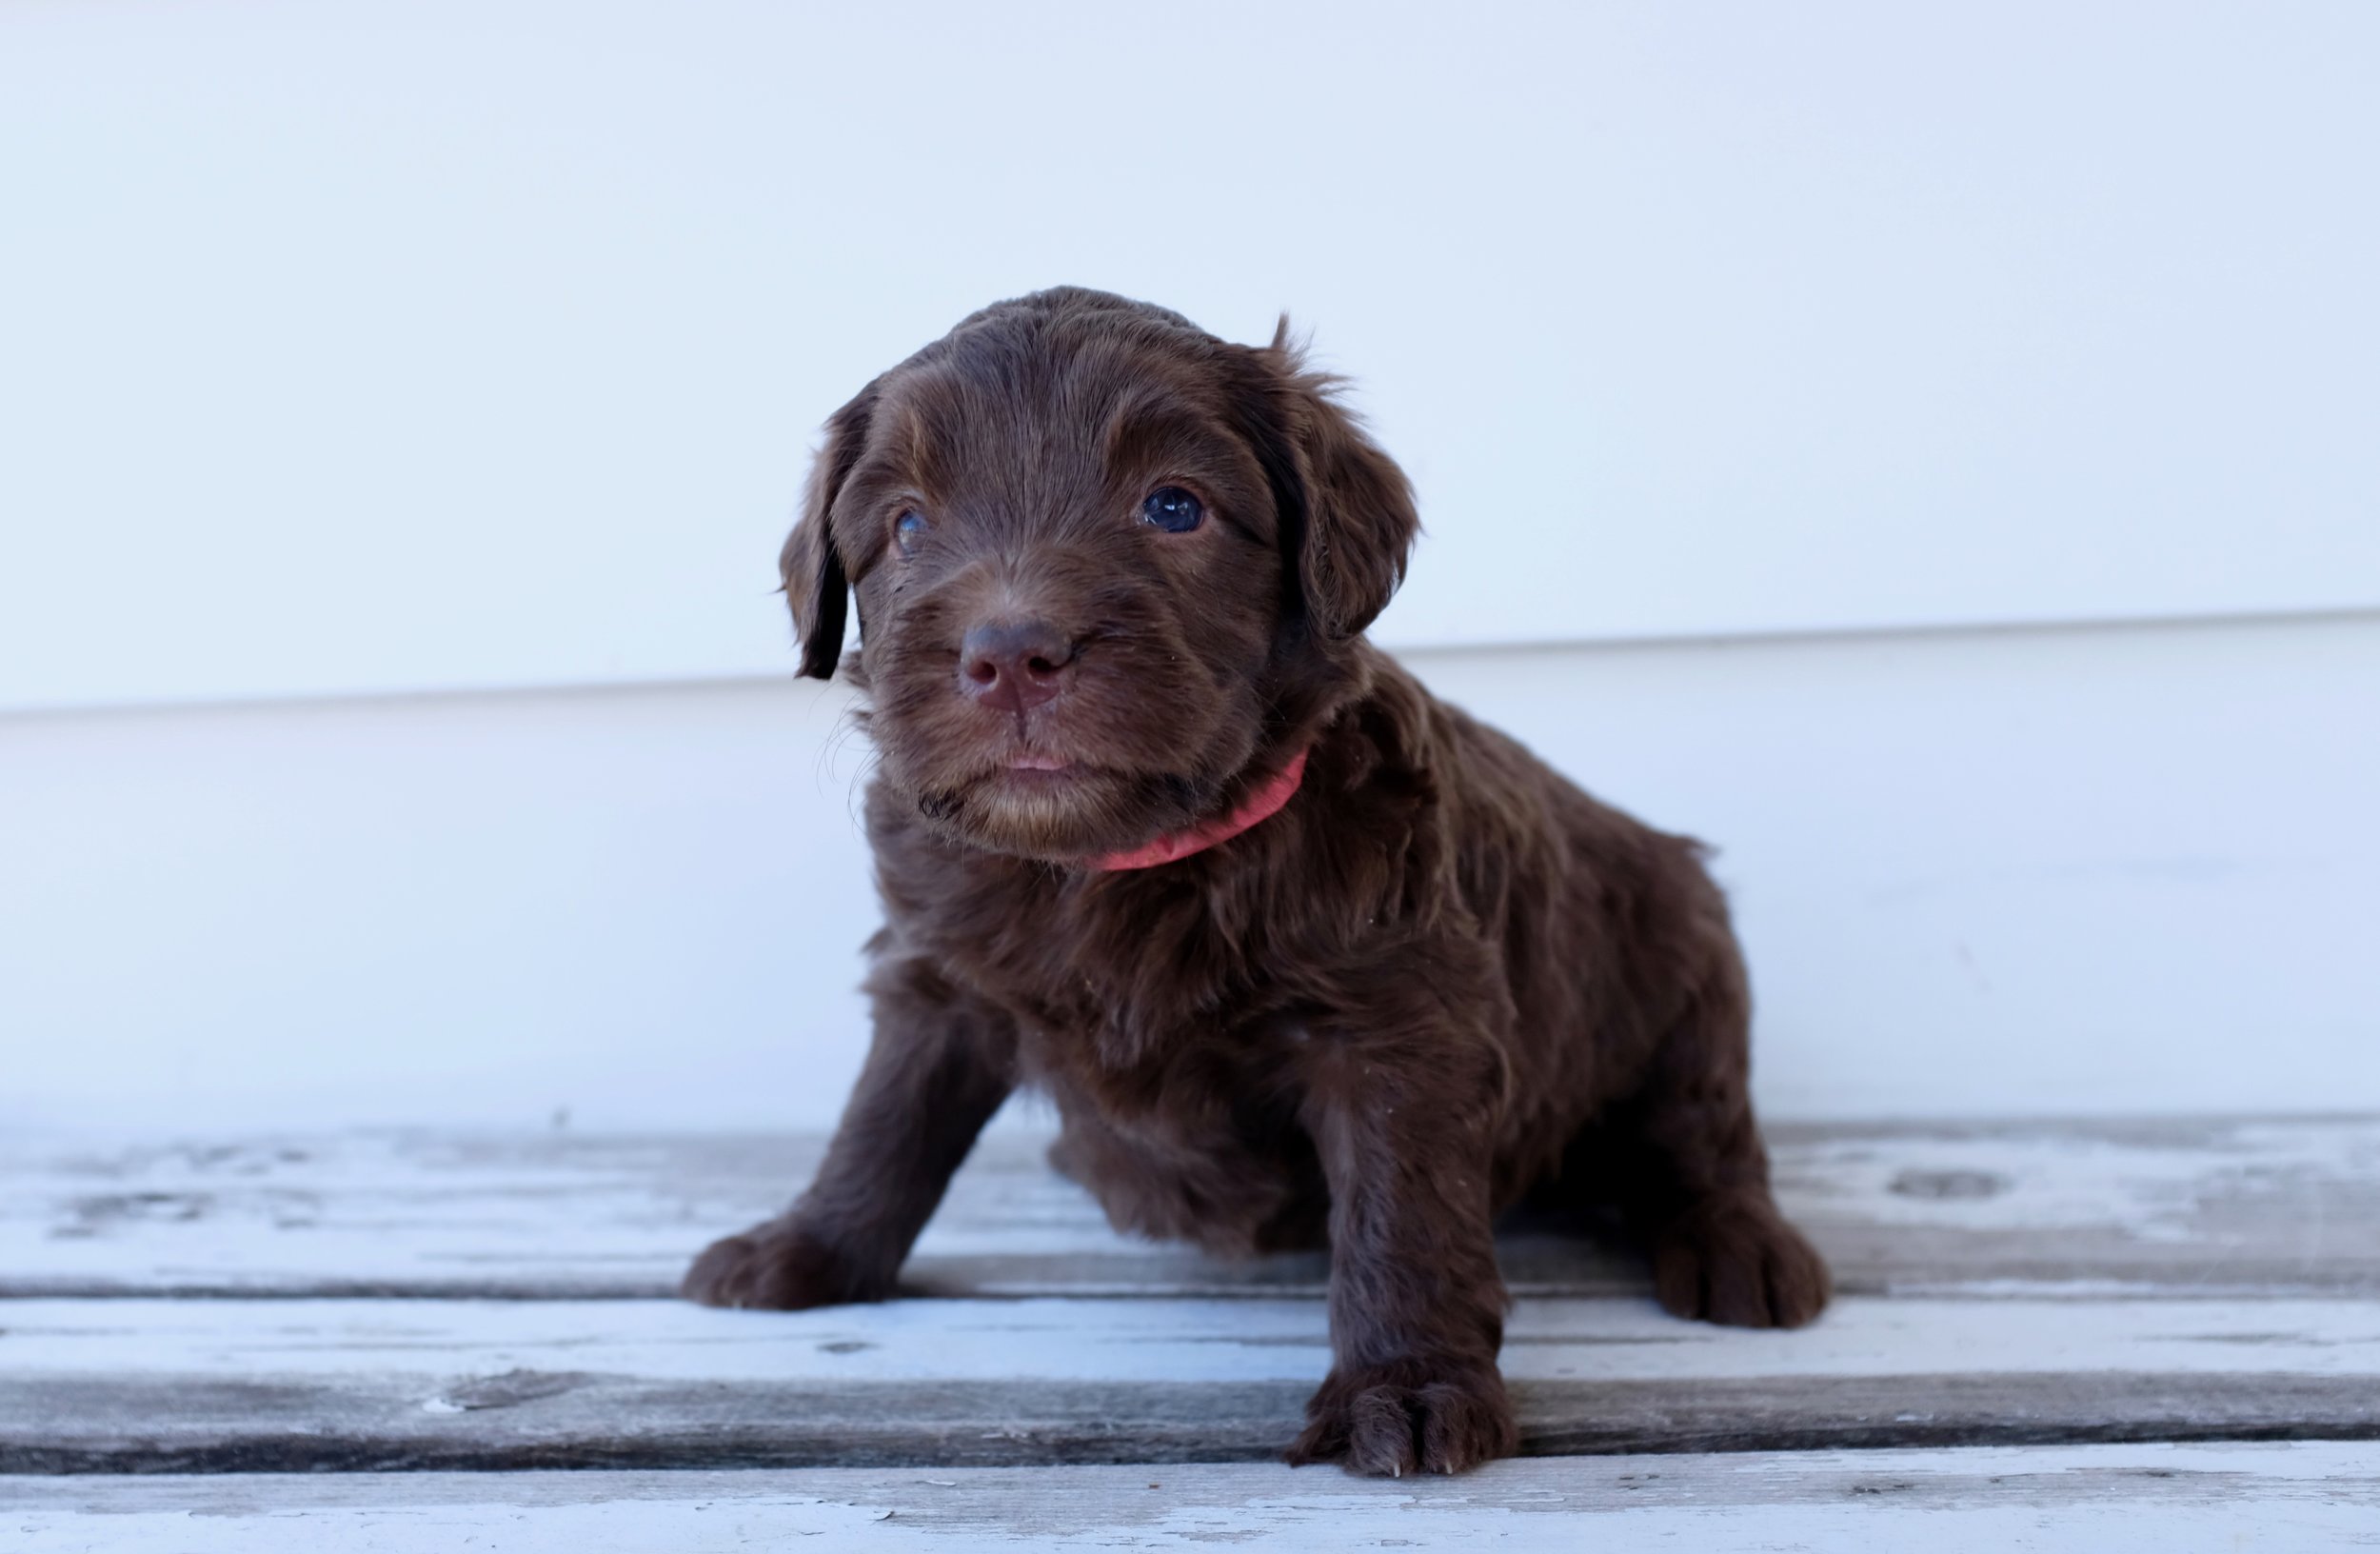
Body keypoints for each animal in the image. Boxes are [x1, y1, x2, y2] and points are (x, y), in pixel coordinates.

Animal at [681, 288, 1828, 1465]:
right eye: (906, 526)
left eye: (1173, 506)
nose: (1010, 657)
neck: (1110, 863)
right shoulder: (936, 977)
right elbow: (885, 1122)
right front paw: (809, 1247)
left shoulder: (1398, 1020)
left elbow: (1402, 1208)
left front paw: (1406, 1384)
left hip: (1684, 964)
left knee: (1701, 1133)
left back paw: (1737, 1245)